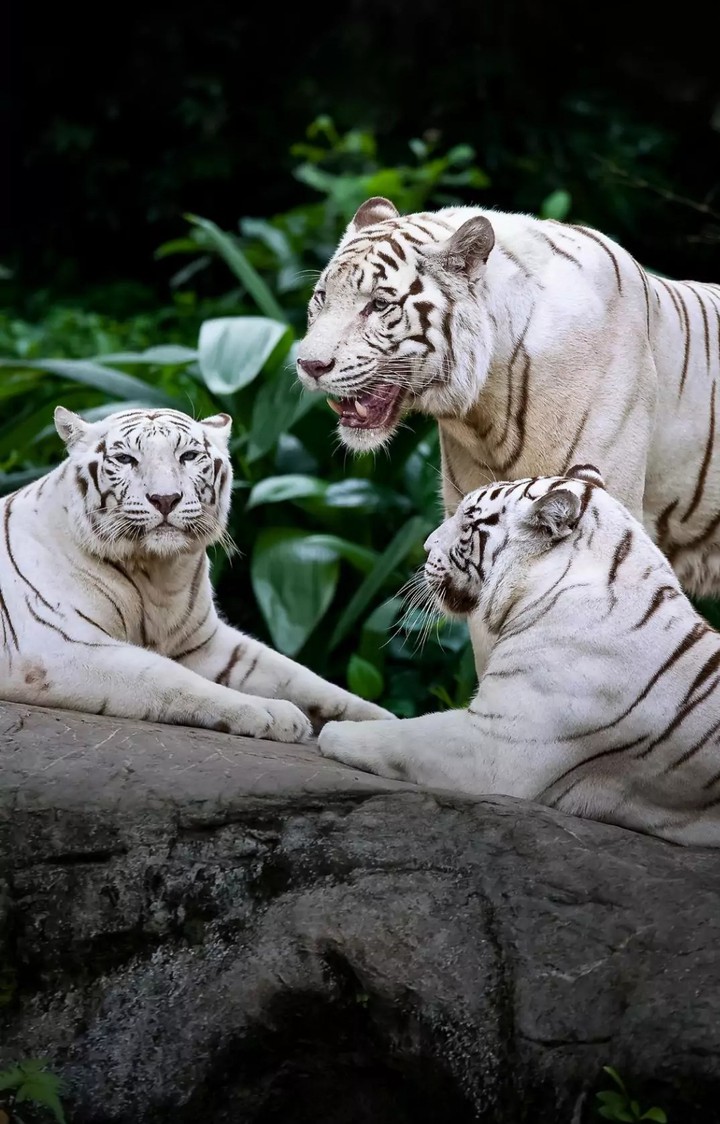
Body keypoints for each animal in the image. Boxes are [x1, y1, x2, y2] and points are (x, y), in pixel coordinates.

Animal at [0, 406, 392, 741]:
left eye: (187, 456)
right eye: (126, 459)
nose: (165, 499)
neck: (156, 573)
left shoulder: (206, 641)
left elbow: (299, 675)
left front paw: (385, 724)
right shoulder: (56, 648)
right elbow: (167, 677)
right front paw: (274, 714)